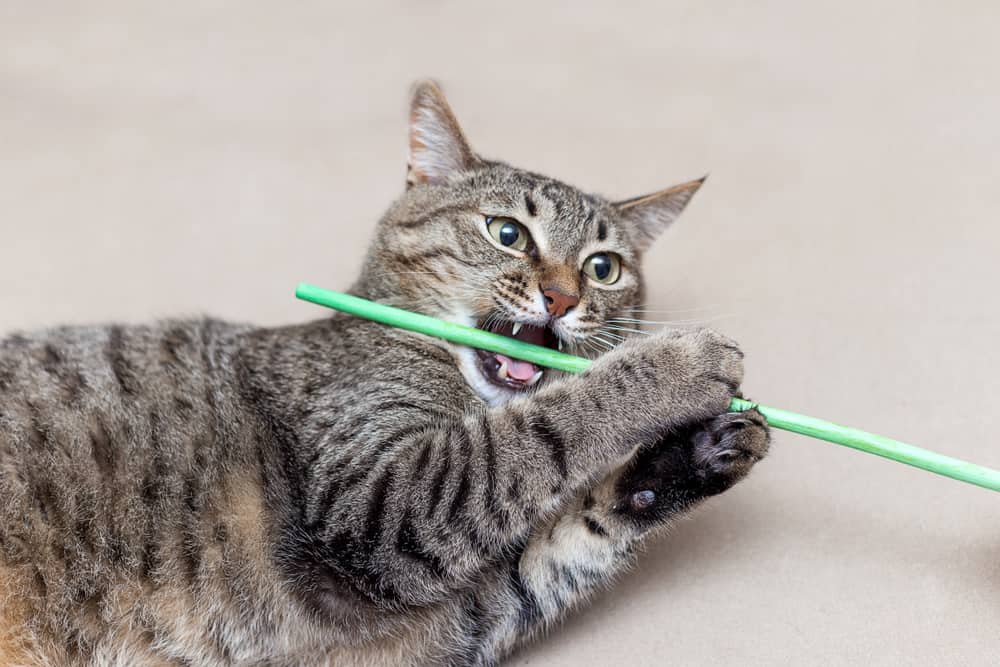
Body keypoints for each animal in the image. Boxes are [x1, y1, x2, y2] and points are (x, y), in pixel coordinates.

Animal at [0, 81, 768, 664]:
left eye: (603, 268)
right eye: (507, 234)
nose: (562, 297)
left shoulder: (463, 612)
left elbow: (567, 539)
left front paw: (699, 450)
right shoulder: (380, 503)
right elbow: (540, 432)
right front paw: (677, 363)